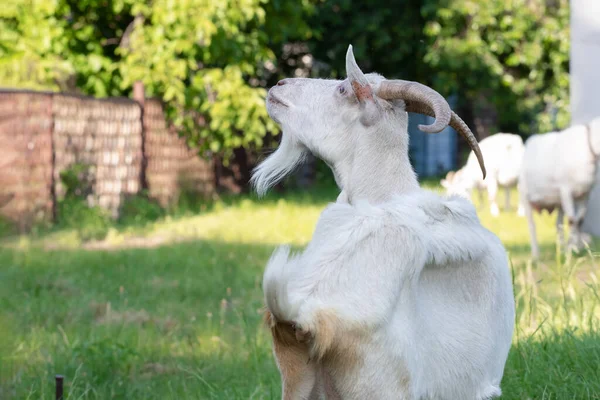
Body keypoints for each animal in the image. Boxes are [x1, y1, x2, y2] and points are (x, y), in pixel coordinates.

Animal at [516, 120, 596, 260]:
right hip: (525, 195)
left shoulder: (585, 194)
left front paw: (574, 248)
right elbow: (572, 220)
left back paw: (562, 250)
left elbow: (579, 221)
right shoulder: (566, 190)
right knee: (532, 226)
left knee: (558, 225)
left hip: (558, 202)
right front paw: (572, 250)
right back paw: (536, 256)